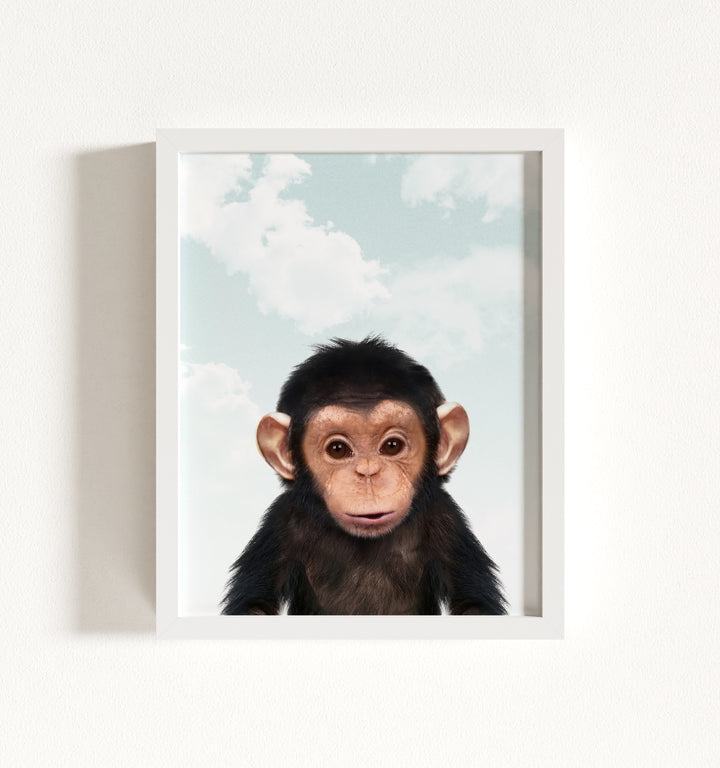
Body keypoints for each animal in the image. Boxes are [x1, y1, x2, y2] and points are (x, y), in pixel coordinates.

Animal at [221, 336, 506, 615]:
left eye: (392, 446)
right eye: (337, 449)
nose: (368, 472)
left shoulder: (446, 520)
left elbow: (473, 603)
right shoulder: (280, 523)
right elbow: (254, 604)